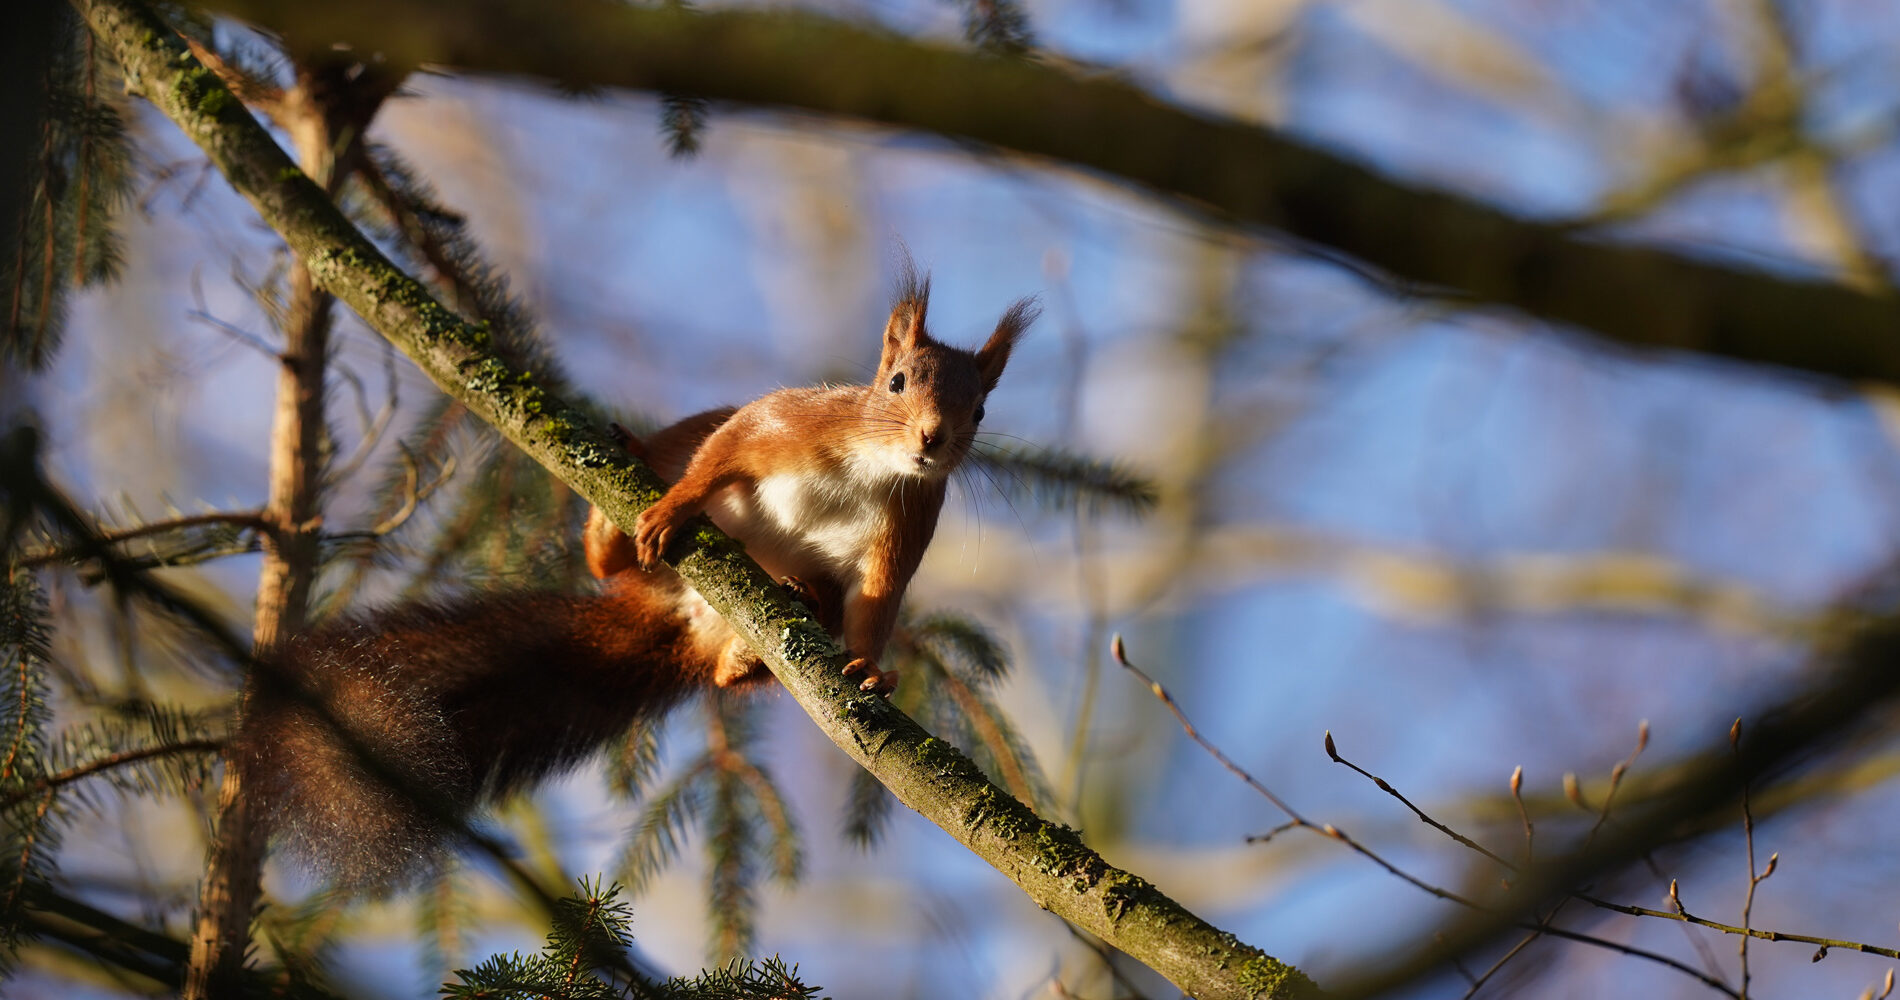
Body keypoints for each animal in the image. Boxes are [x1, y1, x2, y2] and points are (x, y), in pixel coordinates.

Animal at [239, 269, 1048, 889]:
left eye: (980, 409)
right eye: (897, 381)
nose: (932, 441)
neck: (874, 468)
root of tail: (676, 614)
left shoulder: (904, 532)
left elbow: (876, 606)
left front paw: (874, 670)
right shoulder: (783, 422)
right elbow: (722, 455)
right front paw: (674, 509)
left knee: (735, 668)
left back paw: (758, 640)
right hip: (671, 459)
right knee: (635, 521)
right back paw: (615, 528)